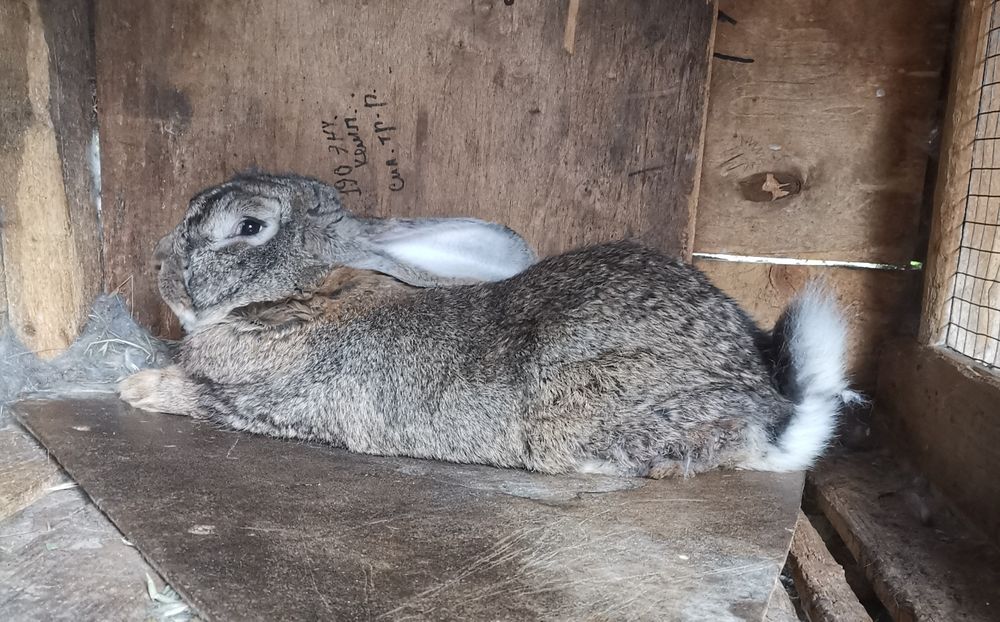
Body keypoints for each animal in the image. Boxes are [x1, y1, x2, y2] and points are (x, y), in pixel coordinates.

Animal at [119, 172, 856, 478]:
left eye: (247, 227)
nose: (159, 267)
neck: (306, 296)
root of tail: (772, 409)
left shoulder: (272, 407)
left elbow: (195, 396)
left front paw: (135, 389)